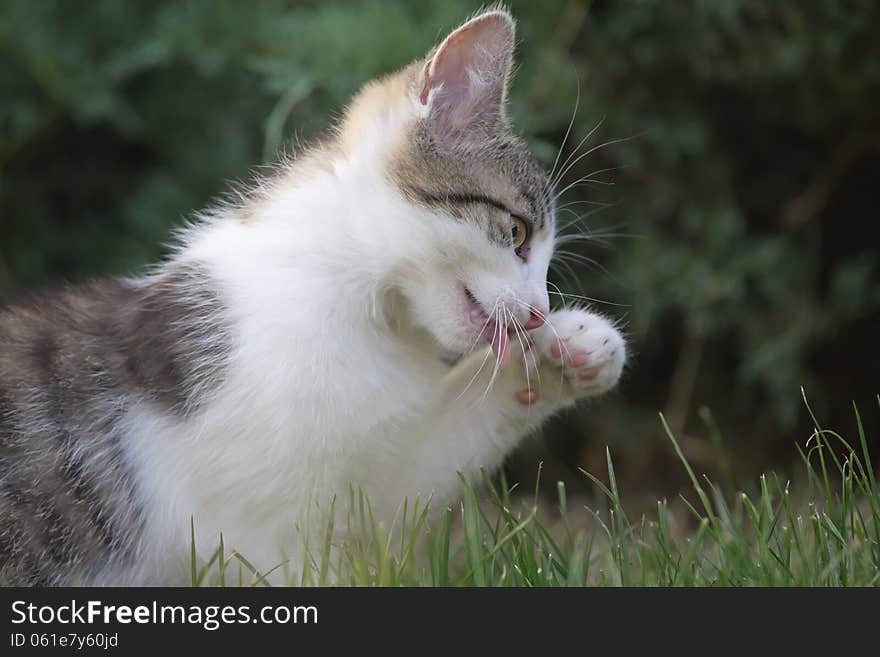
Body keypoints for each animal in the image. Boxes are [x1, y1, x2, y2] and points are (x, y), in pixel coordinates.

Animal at [0, 9, 624, 584]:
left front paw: (573, 352)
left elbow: (417, 474)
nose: (538, 311)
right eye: (517, 232)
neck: (358, 309)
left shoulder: (369, 486)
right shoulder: (257, 533)